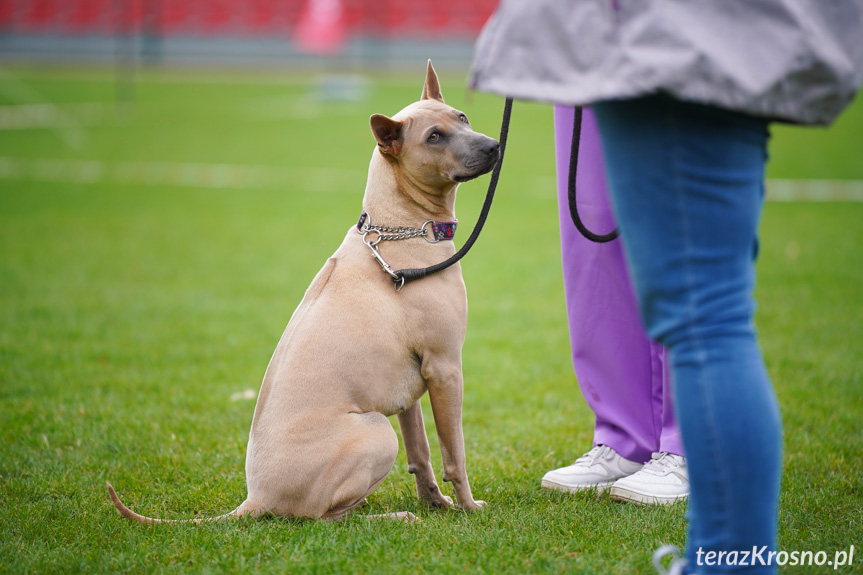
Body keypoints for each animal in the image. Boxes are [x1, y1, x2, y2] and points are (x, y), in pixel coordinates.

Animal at [108, 60, 500, 524]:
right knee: (324, 518)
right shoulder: (445, 368)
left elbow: (420, 453)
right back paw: (390, 517)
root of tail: (256, 497)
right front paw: (469, 506)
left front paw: (435, 502)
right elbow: (454, 453)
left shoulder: (410, 390)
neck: (398, 227)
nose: (495, 146)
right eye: (434, 137)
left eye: (462, 117)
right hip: (375, 429)